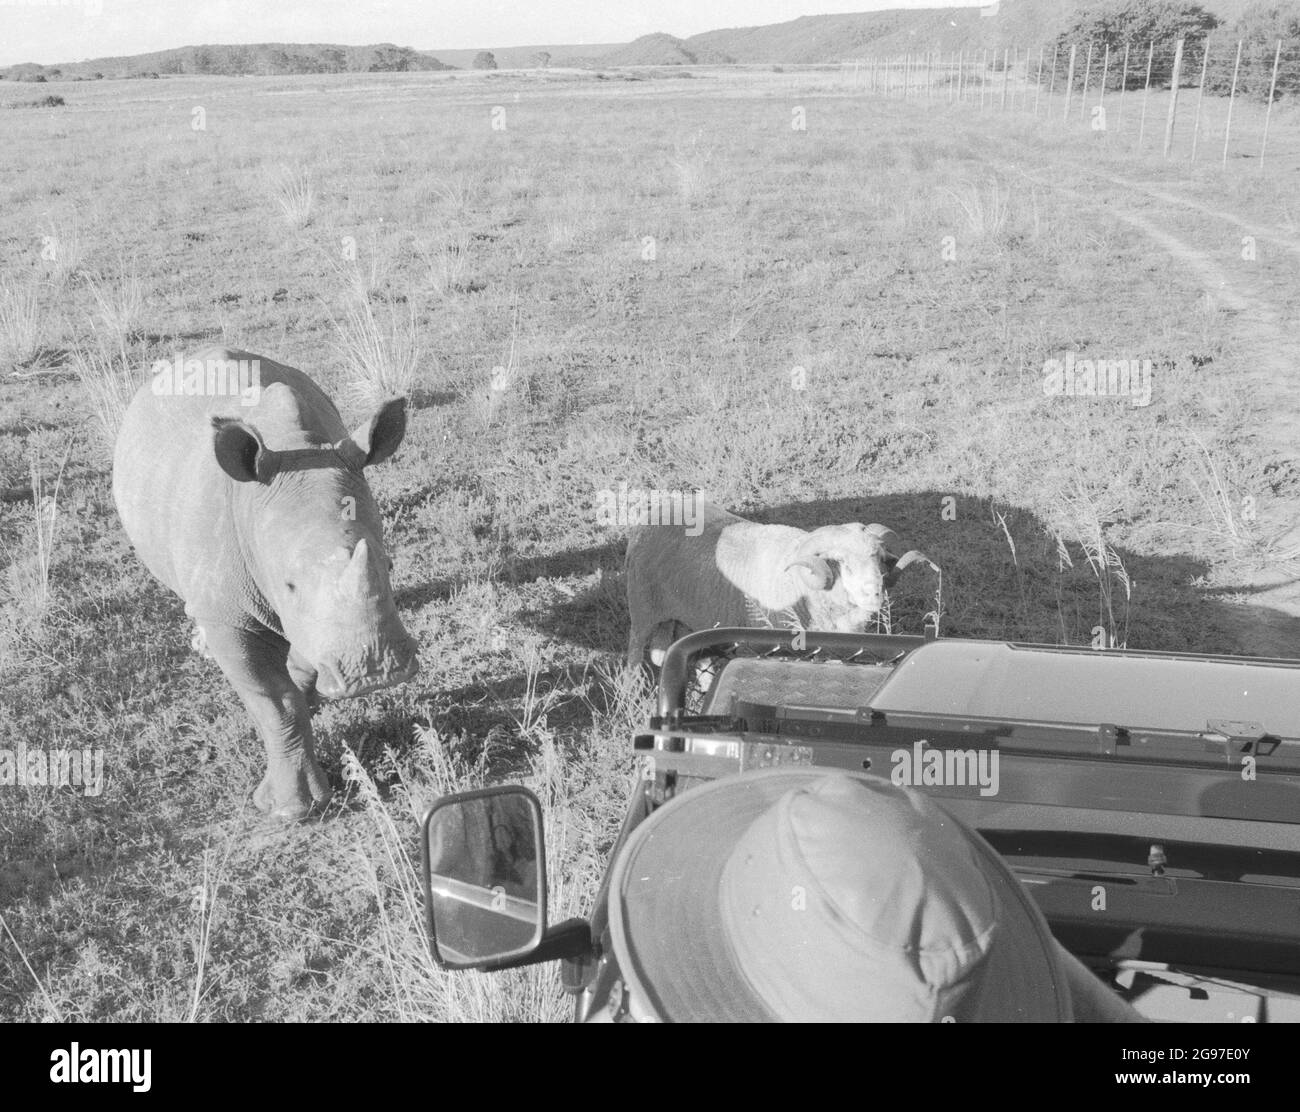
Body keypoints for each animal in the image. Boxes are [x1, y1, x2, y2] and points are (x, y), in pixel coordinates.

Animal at [112, 347, 420, 821]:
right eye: (288, 584)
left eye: (389, 564)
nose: (376, 671)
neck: (299, 449)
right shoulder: (231, 617)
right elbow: (274, 702)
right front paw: (290, 810)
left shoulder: (315, 618)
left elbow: (305, 662)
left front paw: (310, 698)